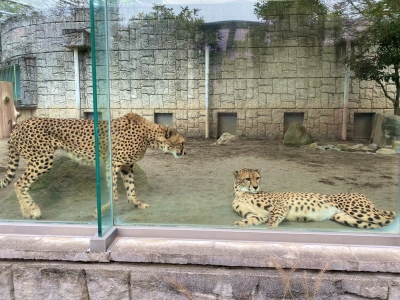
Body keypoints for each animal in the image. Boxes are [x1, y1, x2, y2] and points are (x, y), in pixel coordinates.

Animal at [0, 112, 187, 218]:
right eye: (182, 143)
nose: (186, 153)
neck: (149, 135)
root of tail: (20, 125)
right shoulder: (113, 163)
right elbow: (114, 194)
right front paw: (100, 212)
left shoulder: (127, 166)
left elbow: (131, 189)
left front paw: (137, 204)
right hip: (42, 159)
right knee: (19, 184)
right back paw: (33, 210)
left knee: (19, 184)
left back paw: (26, 212)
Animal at [233, 169, 396, 227]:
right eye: (248, 179)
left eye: (258, 178)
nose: (255, 187)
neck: (241, 193)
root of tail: (361, 193)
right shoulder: (257, 215)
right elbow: (251, 220)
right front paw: (239, 225)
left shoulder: (280, 207)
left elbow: (272, 221)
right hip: (346, 217)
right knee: (379, 223)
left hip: (357, 210)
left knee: (387, 218)